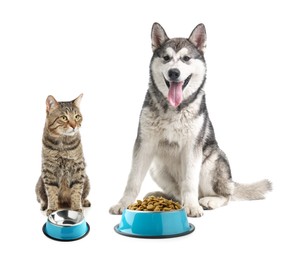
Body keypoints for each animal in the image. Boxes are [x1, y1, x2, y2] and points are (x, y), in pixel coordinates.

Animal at [109, 22, 272, 217]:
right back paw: (164, 197)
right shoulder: (145, 144)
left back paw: (208, 200)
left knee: (226, 195)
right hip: (157, 169)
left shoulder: (192, 148)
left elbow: (189, 181)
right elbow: (133, 179)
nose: (174, 72)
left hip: (211, 164)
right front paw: (124, 203)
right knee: (177, 193)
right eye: (166, 58)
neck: (174, 108)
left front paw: (192, 207)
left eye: (186, 58)